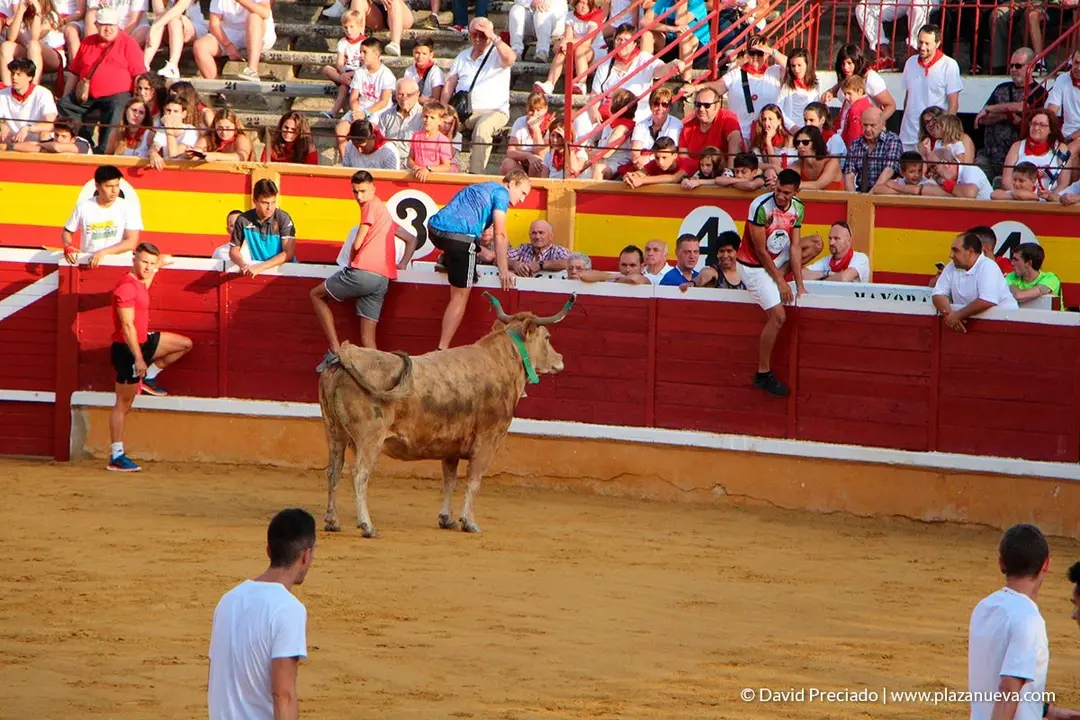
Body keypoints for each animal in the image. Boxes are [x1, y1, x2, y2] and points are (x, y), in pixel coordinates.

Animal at [317, 292, 576, 537]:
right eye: (547, 338)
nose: (561, 360)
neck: (502, 361)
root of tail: (345, 356)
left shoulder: (450, 445)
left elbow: (449, 481)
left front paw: (446, 519)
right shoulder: (487, 440)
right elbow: (473, 481)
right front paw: (469, 522)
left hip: (334, 433)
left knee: (333, 471)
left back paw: (332, 522)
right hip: (370, 440)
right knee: (359, 474)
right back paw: (367, 526)